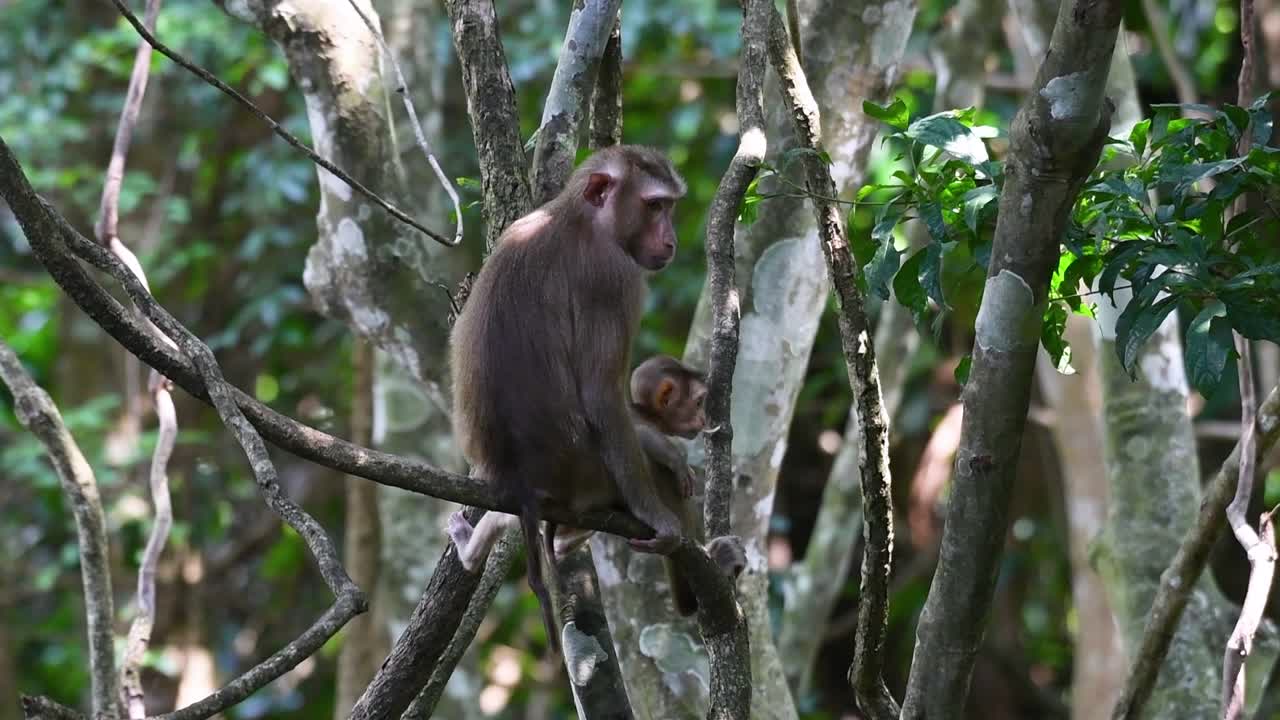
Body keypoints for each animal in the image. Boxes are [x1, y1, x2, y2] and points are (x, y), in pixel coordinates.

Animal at [447, 355, 746, 616]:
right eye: (698, 402)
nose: (703, 420)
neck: (647, 414)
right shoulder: (632, 420)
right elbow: (638, 439)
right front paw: (677, 461)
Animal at [448, 145, 688, 653]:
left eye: (670, 207)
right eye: (655, 206)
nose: (672, 241)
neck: (577, 216)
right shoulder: (616, 278)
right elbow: (602, 397)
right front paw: (657, 512)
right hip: (591, 479)